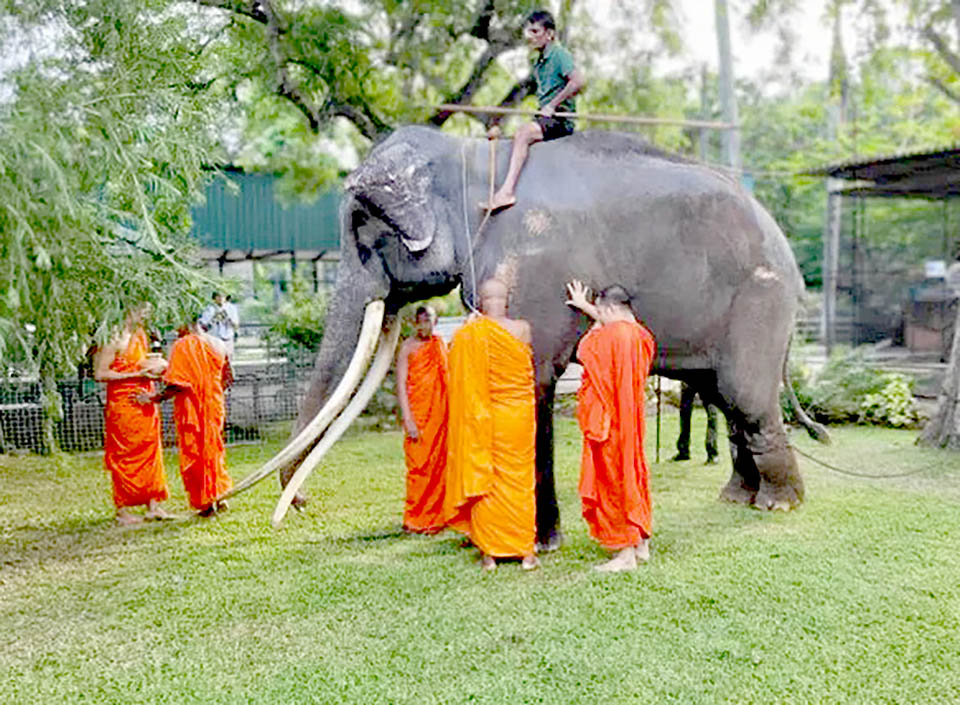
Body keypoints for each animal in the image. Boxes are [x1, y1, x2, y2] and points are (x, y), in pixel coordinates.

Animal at [231, 124, 824, 536]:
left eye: (360, 229)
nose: (300, 503)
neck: (470, 158)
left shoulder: (537, 270)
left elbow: (531, 374)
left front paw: (537, 541)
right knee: (724, 398)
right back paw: (739, 498)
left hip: (759, 299)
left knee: (745, 397)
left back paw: (779, 505)